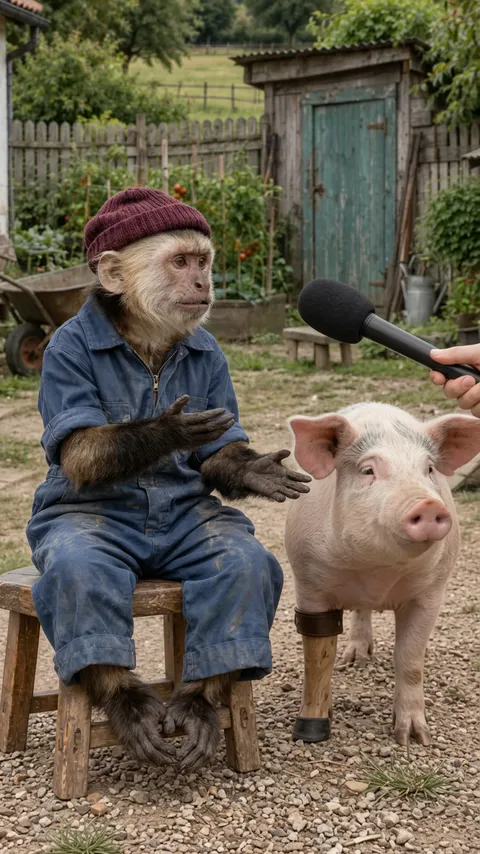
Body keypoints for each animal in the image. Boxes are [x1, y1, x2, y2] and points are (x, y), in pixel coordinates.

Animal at [285, 401, 480, 746]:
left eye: (429, 469)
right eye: (367, 471)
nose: (428, 504)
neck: (377, 570)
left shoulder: (432, 592)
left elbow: (411, 660)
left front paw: (413, 738)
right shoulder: (308, 581)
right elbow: (318, 659)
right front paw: (314, 727)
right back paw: (355, 659)